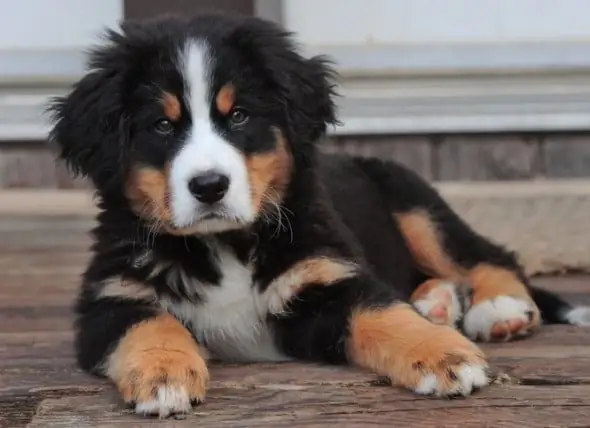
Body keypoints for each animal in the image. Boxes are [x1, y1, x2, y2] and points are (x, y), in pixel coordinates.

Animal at [47, 12, 590, 418]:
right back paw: (437, 302)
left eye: (239, 116)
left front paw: (446, 356)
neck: (225, 244)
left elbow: (384, 314)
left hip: (414, 201)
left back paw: (497, 310)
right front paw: (163, 374)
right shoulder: (111, 297)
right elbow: (149, 324)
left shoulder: (326, 277)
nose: (209, 186)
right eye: (162, 126)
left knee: (486, 255)